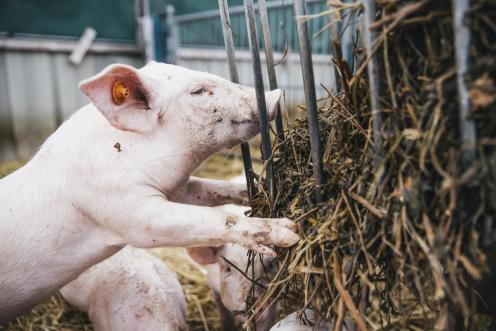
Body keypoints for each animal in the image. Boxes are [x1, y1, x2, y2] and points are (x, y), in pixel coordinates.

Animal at [0, 61, 298, 322]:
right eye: (198, 91)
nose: (275, 95)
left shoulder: (178, 189)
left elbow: (214, 189)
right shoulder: (129, 213)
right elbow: (211, 219)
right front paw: (289, 232)